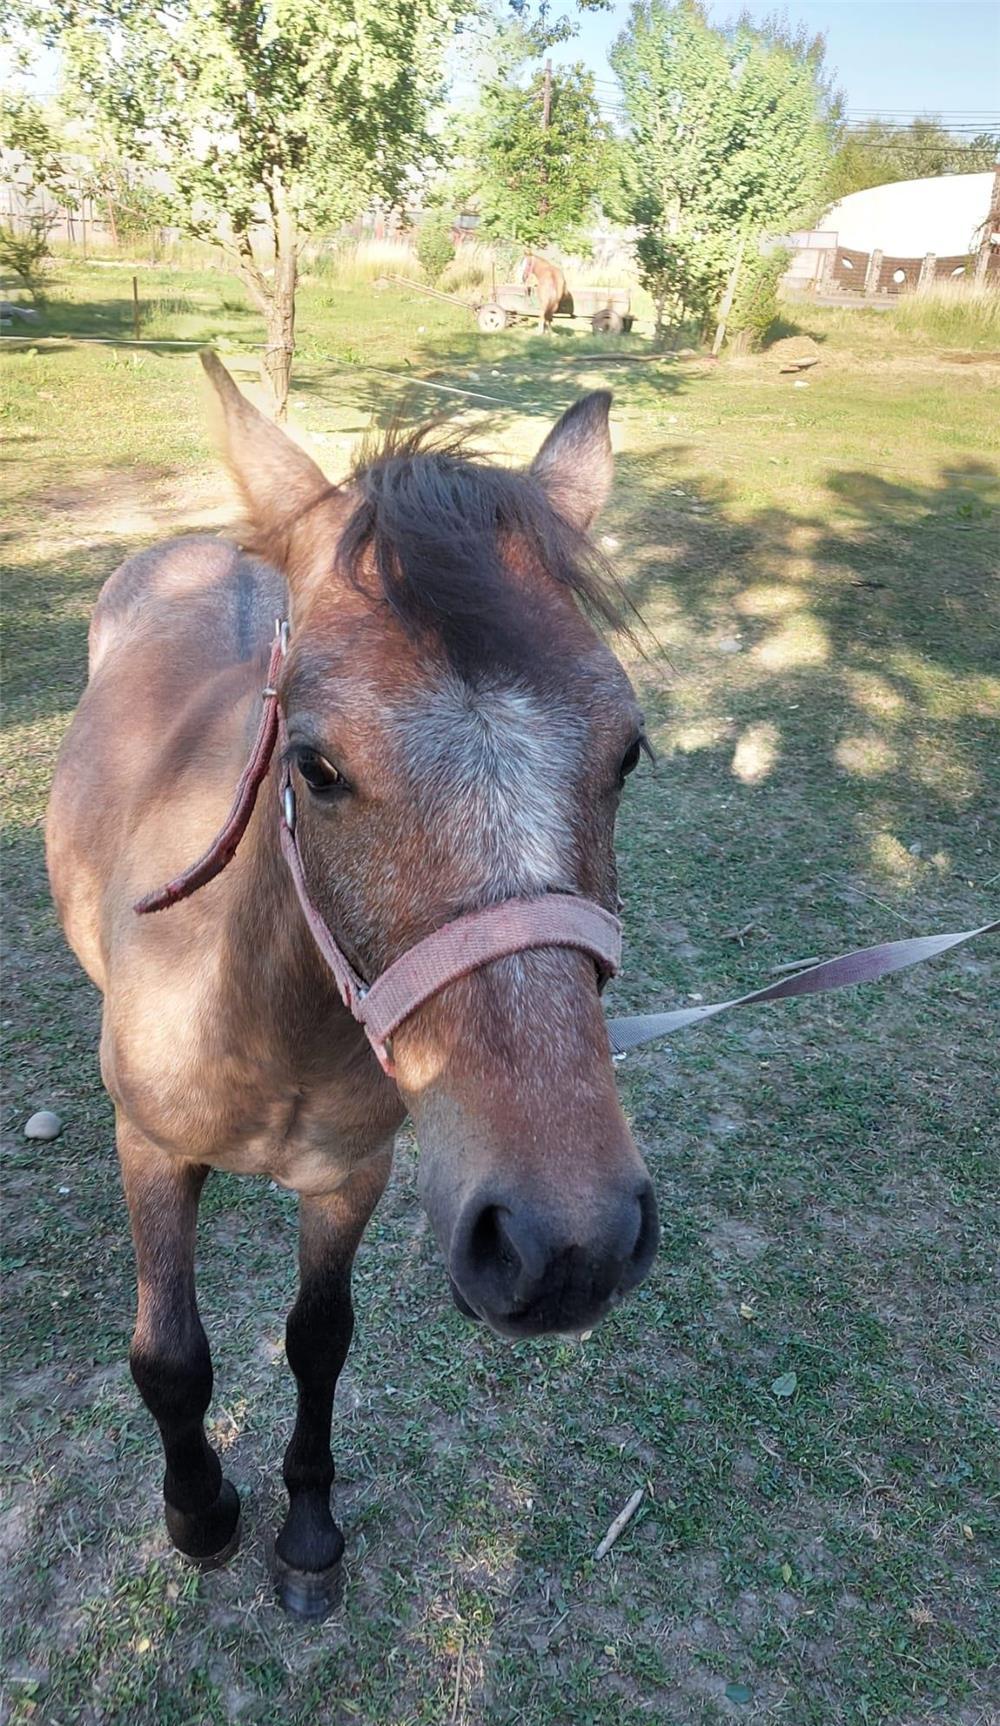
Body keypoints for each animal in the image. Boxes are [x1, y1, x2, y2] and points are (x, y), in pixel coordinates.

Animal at [46, 355, 659, 1619]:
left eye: (626, 751)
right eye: (316, 766)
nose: (568, 1240)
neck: (263, 1023)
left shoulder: (353, 1176)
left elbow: (318, 1339)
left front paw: (308, 1534)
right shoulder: (149, 1149)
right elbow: (169, 1355)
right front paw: (200, 1516)